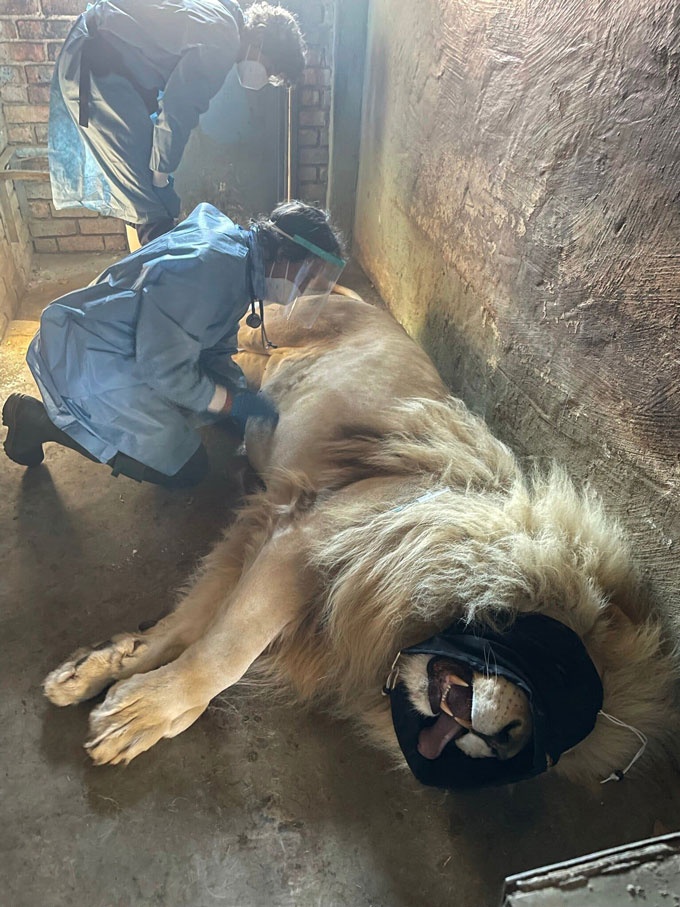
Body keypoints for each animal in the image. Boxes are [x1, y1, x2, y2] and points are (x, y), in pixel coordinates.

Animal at [43, 295, 677, 788]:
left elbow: (190, 624)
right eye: (556, 670)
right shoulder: (306, 538)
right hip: (273, 321)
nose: (505, 739)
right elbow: (224, 651)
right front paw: (143, 711)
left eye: (540, 747)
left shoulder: (267, 532)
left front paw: (105, 676)